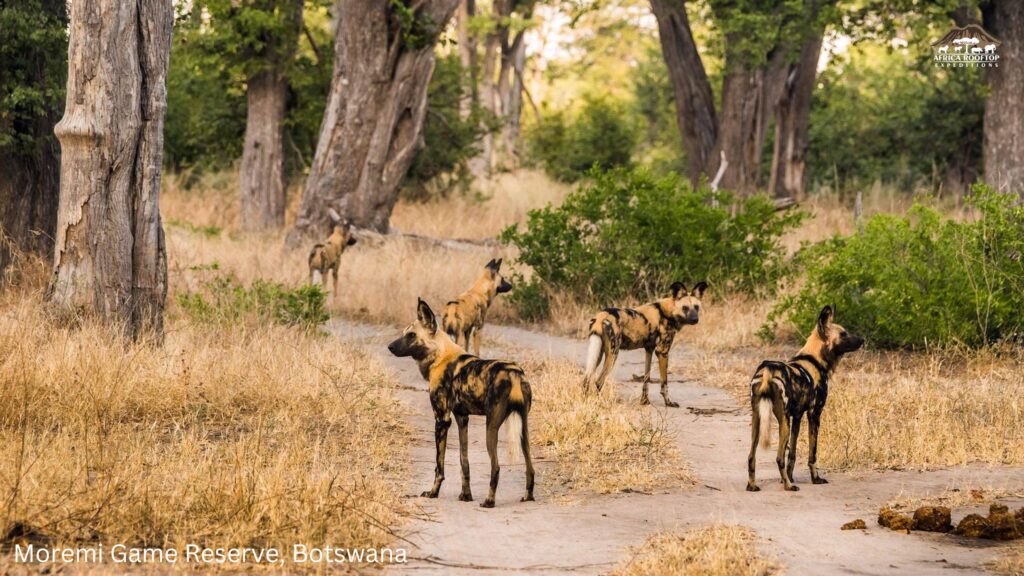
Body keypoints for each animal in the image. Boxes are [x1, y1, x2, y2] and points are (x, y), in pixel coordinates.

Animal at [387, 297, 536, 504]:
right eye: (404, 333)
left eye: (411, 335)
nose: (390, 347)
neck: (440, 356)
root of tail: (514, 372)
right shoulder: (461, 419)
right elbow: (463, 461)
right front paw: (466, 495)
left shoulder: (442, 420)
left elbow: (438, 467)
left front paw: (433, 493)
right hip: (523, 429)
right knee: (530, 467)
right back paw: (528, 496)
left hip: (491, 427)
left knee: (496, 466)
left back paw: (489, 501)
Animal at [745, 303, 864, 491]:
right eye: (843, 334)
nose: (862, 339)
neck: (814, 359)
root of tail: (767, 369)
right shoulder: (814, 414)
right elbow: (812, 454)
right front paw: (815, 479)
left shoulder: (798, 416)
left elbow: (792, 454)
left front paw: (790, 477)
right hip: (783, 421)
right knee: (779, 457)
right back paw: (789, 487)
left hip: (758, 419)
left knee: (751, 456)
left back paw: (753, 485)